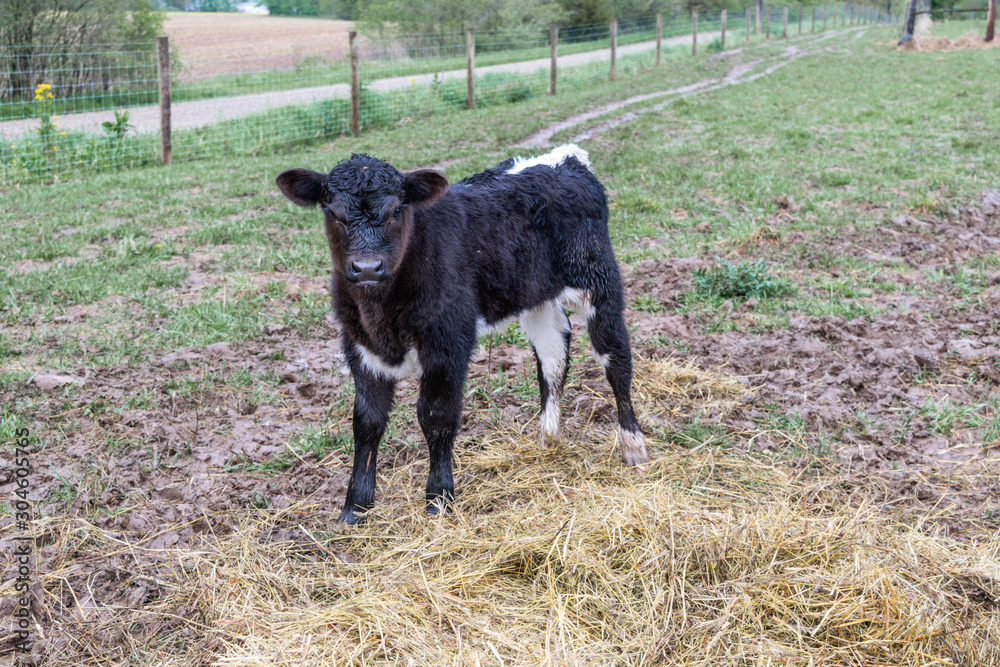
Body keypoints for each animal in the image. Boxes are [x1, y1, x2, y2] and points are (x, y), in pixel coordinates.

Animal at [274, 146, 648, 528]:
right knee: (553, 357)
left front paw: (439, 499)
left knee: (615, 358)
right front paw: (355, 508)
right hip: (536, 296)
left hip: (599, 279)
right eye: (333, 212)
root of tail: (566, 159)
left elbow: (436, 416)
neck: (381, 316)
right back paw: (546, 438)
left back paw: (633, 445)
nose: (367, 268)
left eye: (397, 210)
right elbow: (367, 421)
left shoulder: (448, 342)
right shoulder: (360, 347)